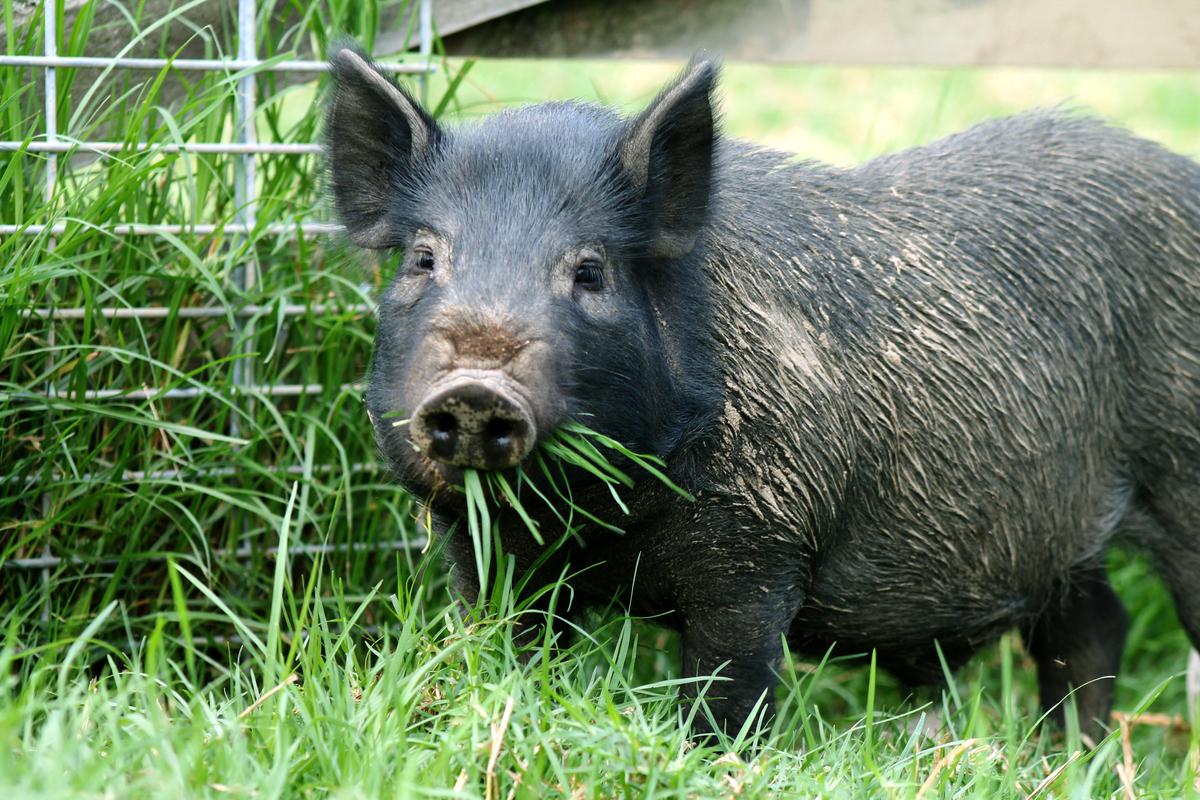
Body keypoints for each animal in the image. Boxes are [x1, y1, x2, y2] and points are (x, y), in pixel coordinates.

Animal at [327, 47, 1200, 741]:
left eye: (590, 270)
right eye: (424, 259)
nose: (476, 387)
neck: (603, 515)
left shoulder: (760, 542)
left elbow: (730, 683)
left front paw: (713, 756)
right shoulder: (486, 548)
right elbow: (511, 645)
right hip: (1063, 534)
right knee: (1095, 624)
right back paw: (1066, 757)